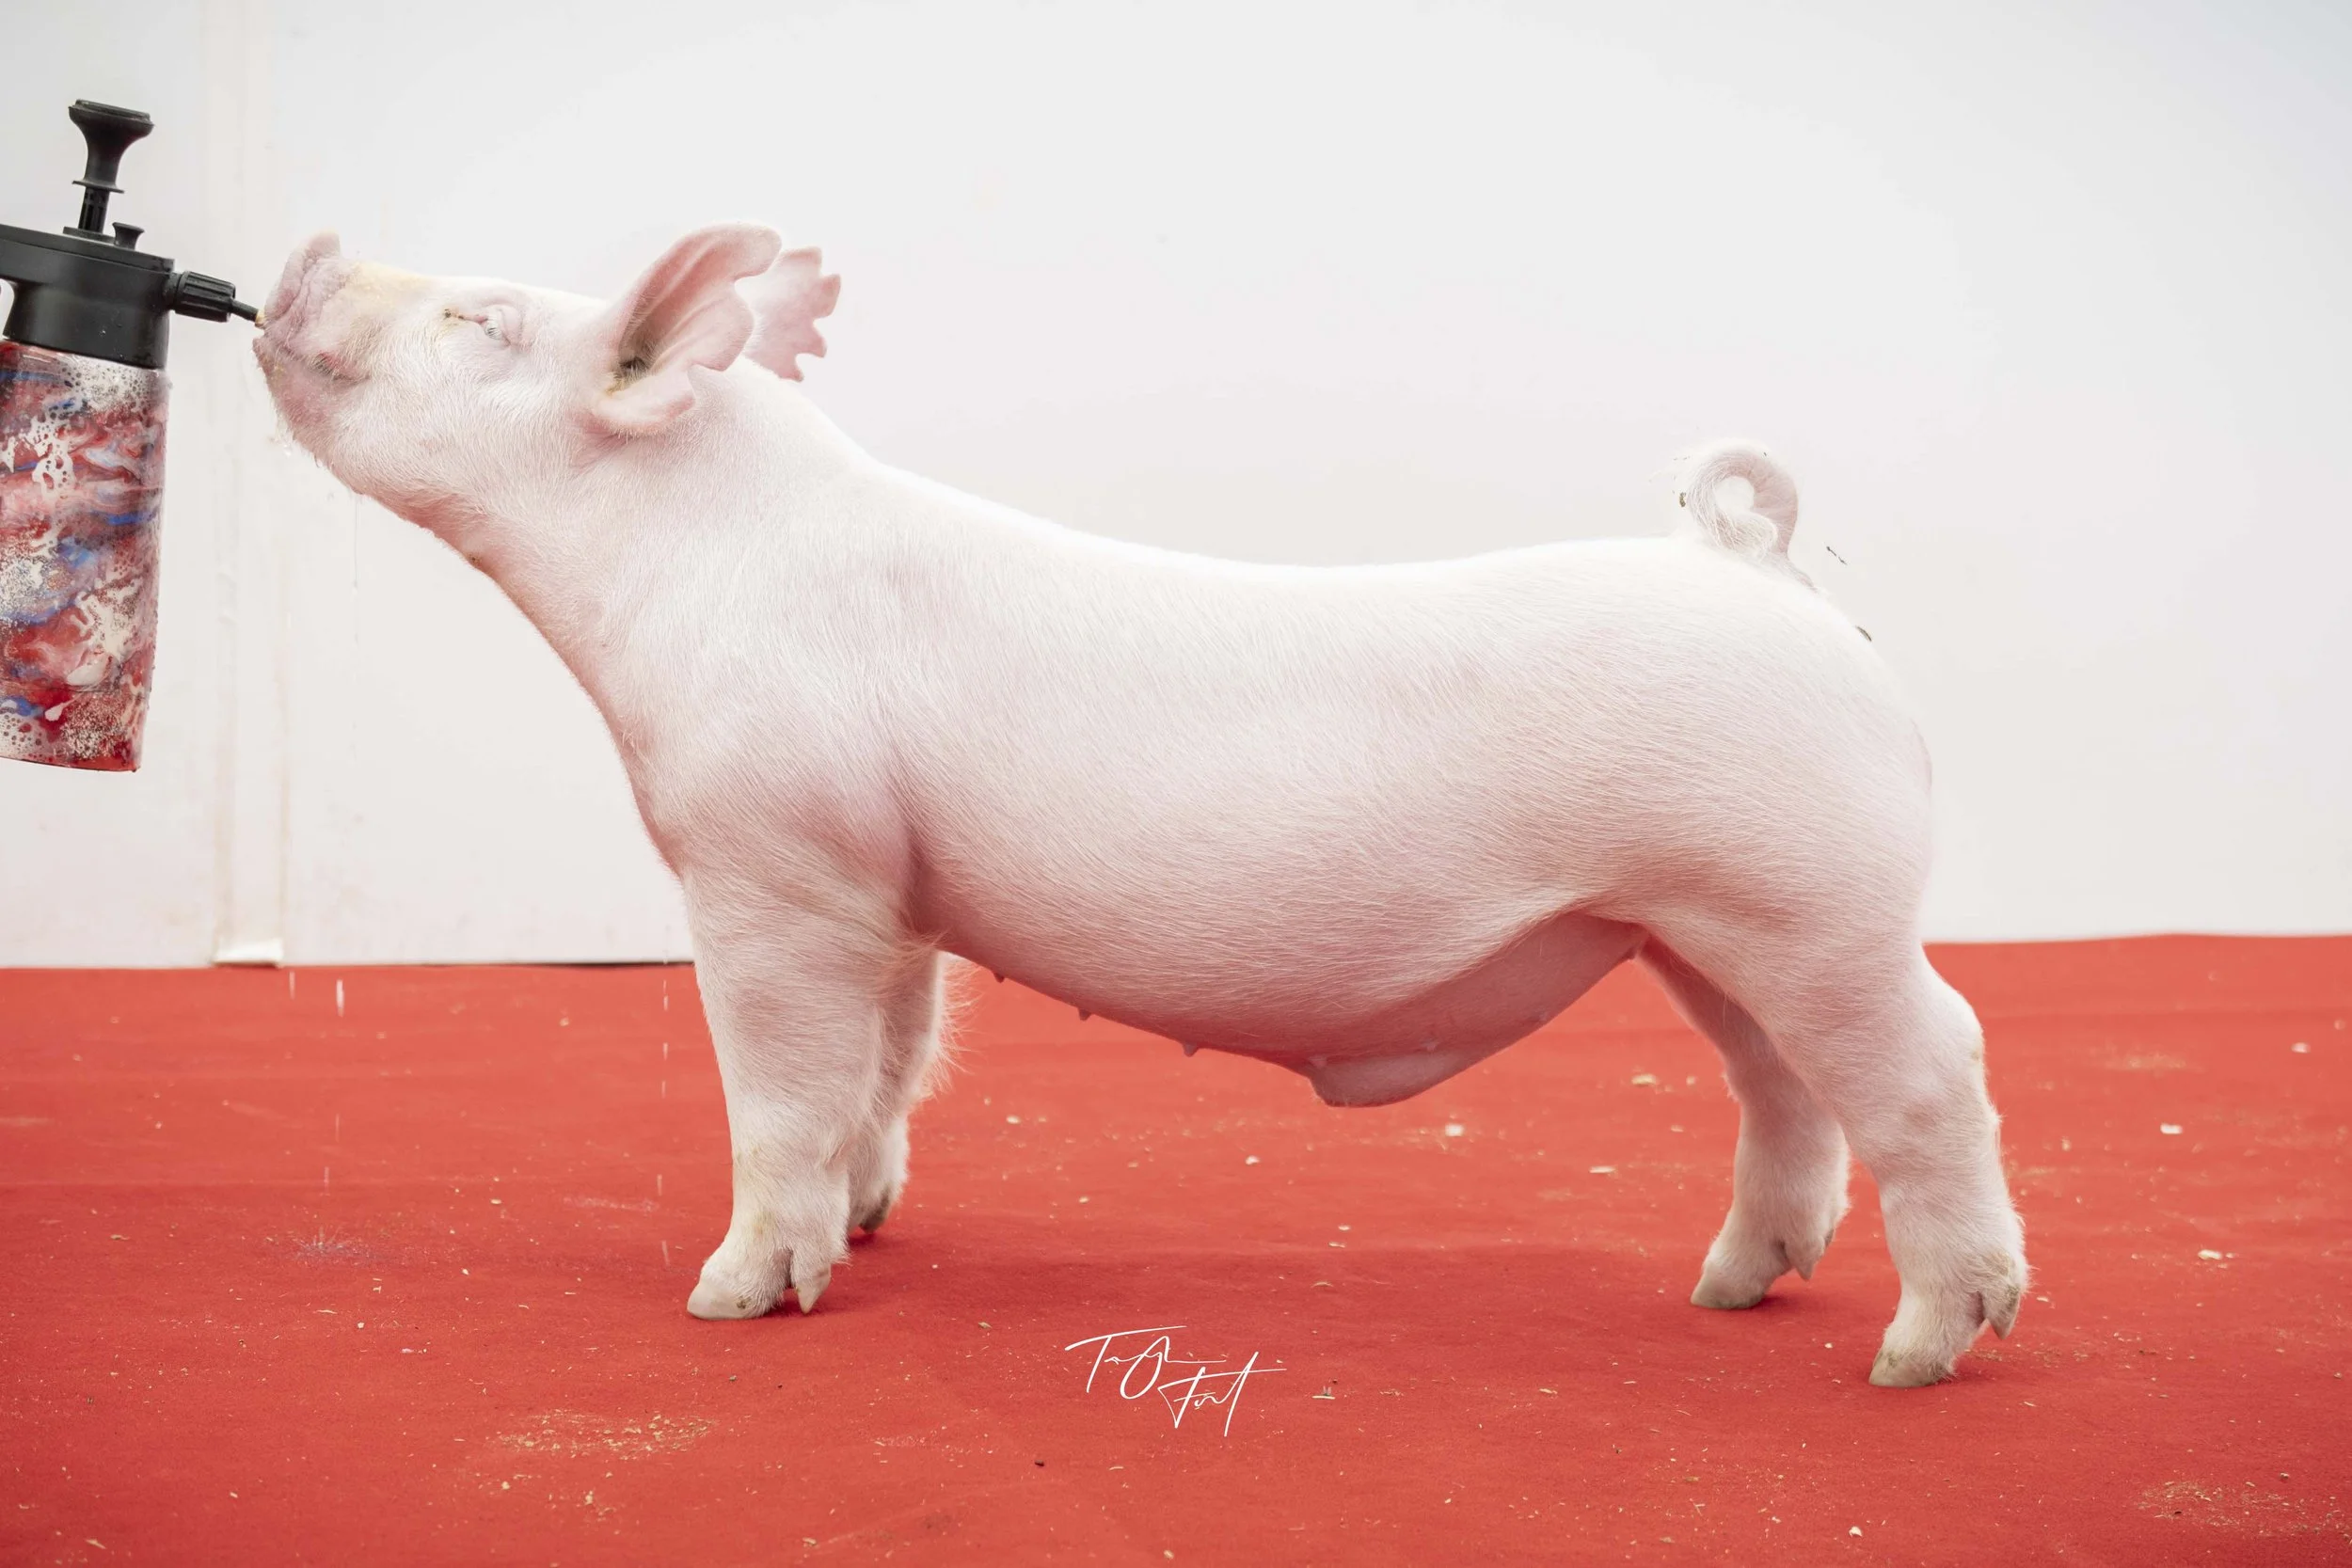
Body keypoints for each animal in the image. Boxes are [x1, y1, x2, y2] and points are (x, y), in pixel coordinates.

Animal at [253, 223, 2027, 1388]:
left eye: (481, 318)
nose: (311, 240)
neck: (690, 562)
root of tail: (1753, 566)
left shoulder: (769, 860)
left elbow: (781, 1088)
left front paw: (731, 1298)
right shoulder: (885, 890)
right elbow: (889, 1061)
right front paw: (873, 1226)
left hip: (1817, 898)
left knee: (1933, 1064)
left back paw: (1919, 1351)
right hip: (1697, 922)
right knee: (1782, 1087)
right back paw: (1732, 1292)